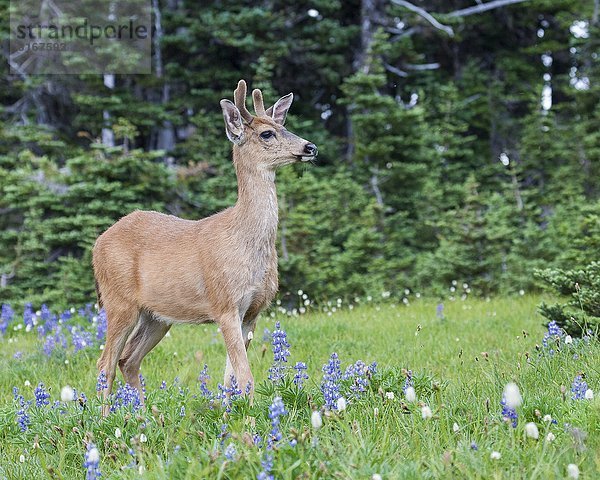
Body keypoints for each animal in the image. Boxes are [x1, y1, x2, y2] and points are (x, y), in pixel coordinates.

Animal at [92, 79, 318, 412]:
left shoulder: (252, 311)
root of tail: (97, 243)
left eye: (284, 124)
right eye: (267, 133)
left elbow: (230, 377)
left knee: (128, 359)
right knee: (105, 363)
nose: (309, 147)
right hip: (119, 301)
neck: (245, 241)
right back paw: (106, 418)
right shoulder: (225, 304)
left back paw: (143, 416)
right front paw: (251, 420)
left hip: (156, 316)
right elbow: (246, 377)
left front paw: (228, 415)